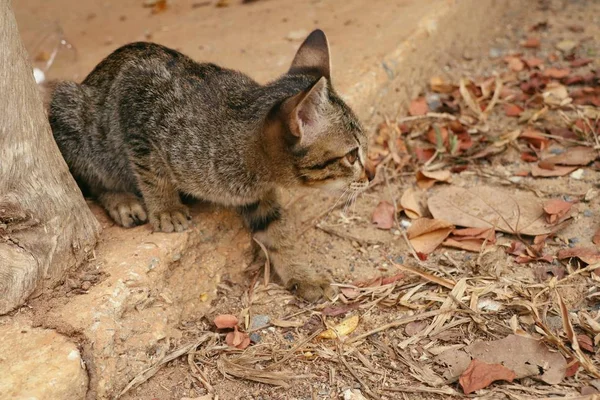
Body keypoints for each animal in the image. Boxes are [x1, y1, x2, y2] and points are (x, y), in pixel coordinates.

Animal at [49, 30, 372, 300]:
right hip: (71, 113)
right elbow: (152, 169)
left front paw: (303, 275)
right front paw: (166, 208)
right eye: (351, 156)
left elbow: (278, 233)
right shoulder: (138, 97)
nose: (372, 175)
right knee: (87, 175)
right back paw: (122, 200)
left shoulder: (258, 197)